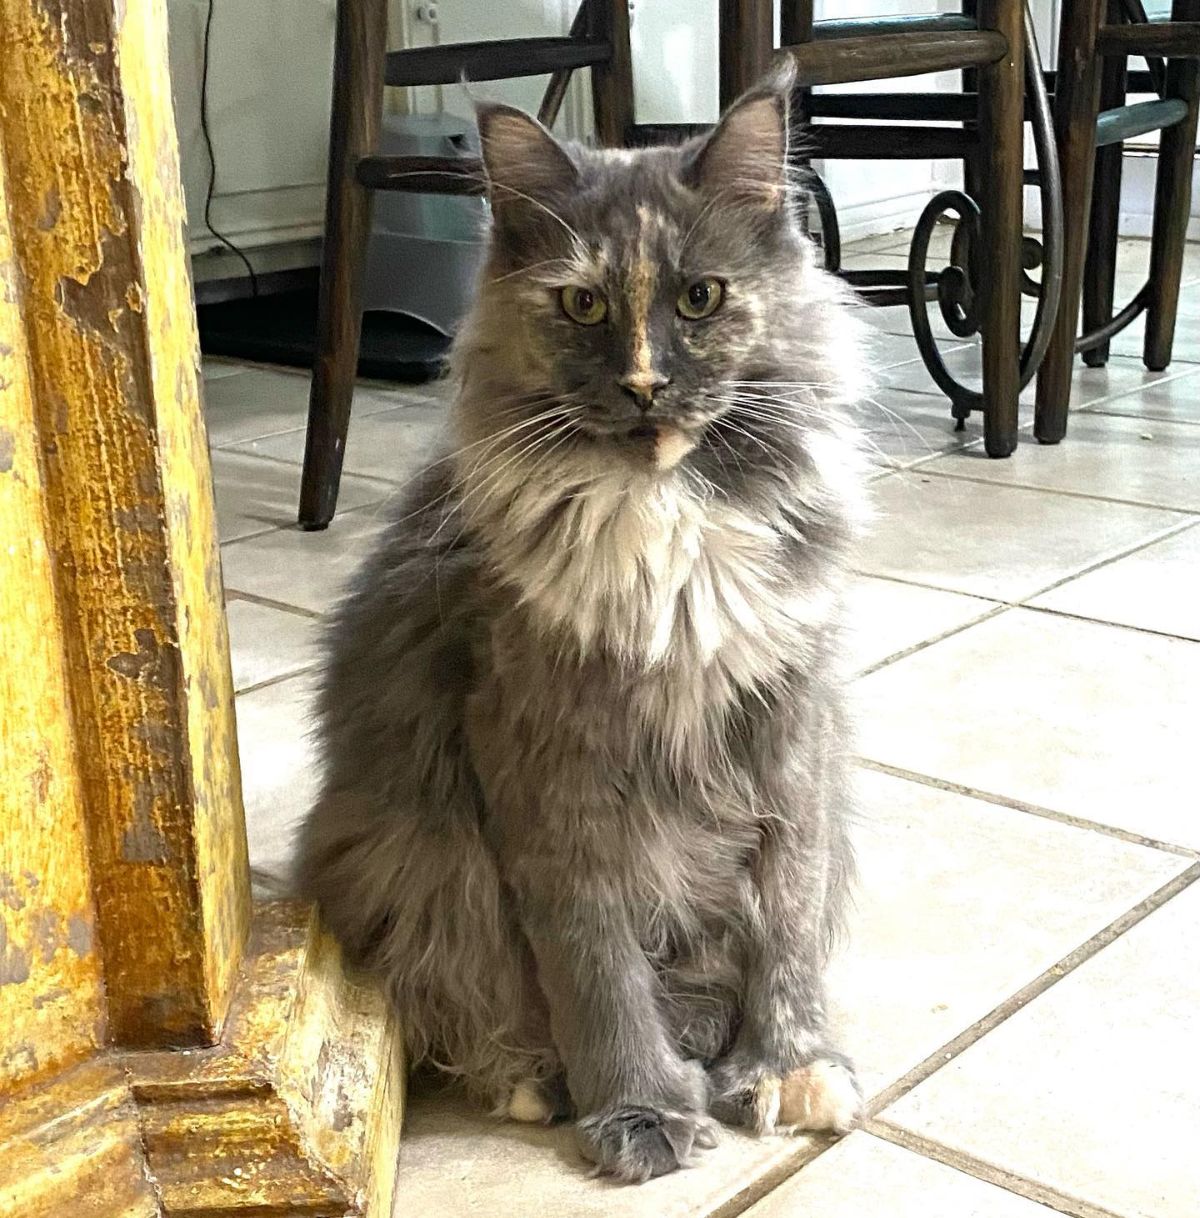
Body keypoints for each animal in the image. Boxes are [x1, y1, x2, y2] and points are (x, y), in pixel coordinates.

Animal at [294, 73, 867, 1179]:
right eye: (583, 304)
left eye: (701, 298)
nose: (645, 385)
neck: (665, 524)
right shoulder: (545, 762)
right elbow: (594, 967)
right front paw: (639, 1111)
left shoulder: (790, 733)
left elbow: (786, 923)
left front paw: (787, 1067)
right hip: (417, 863)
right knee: (467, 995)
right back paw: (530, 1076)